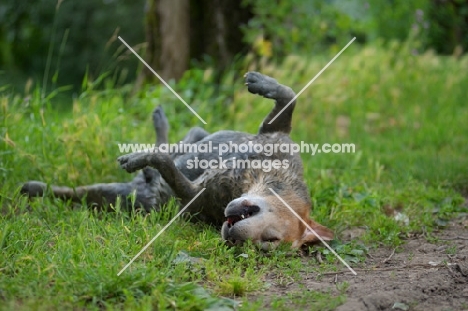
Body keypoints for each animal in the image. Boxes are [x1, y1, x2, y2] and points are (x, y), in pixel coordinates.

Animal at [21, 72, 332, 250]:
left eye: (267, 243)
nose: (232, 238)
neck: (262, 177)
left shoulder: (194, 193)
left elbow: (165, 164)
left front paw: (142, 158)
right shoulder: (276, 133)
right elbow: (289, 95)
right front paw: (262, 83)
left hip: (112, 196)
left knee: (71, 193)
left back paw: (34, 188)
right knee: (184, 138)